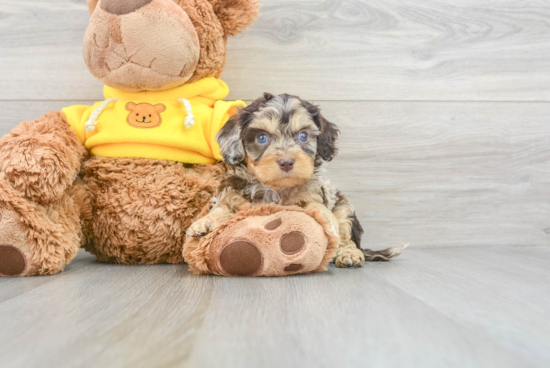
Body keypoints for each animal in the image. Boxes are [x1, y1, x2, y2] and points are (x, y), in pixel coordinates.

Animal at [188, 92, 408, 268]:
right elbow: (221, 209)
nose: (286, 162)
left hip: (344, 208)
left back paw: (350, 254)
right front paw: (203, 224)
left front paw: (327, 219)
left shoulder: (313, 195)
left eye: (303, 136)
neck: (276, 189)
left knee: (348, 236)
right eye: (261, 138)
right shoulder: (232, 195)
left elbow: (318, 208)